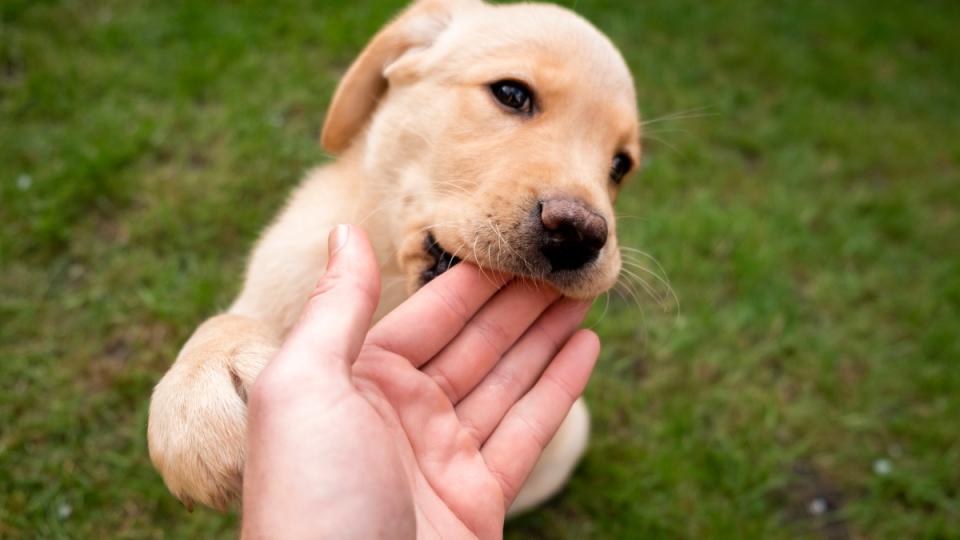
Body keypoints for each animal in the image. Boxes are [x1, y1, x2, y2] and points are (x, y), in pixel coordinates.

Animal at [148, 0, 636, 516]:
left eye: (621, 166)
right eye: (511, 93)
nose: (581, 234)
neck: (395, 290)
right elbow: (222, 323)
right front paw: (201, 389)